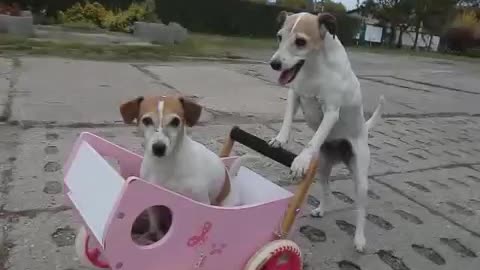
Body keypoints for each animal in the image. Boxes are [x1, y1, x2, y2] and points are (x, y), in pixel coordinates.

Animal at [119, 95, 246, 240]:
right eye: (146, 120)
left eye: (175, 121)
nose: (159, 148)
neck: (165, 165)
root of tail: (230, 178)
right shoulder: (154, 203)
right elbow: (155, 226)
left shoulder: (201, 201)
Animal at [268, 11, 384, 252]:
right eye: (279, 36)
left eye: (300, 42)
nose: (274, 64)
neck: (315, 68)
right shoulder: (294, 95)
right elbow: (287, 120)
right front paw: (280, 139)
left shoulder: (331, 113)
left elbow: (315, 138)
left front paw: (301, 159)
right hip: (322, 167)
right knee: (327, 191)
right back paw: (322, 208)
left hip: (360, 178)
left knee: (361, 210)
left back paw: (359, 239)